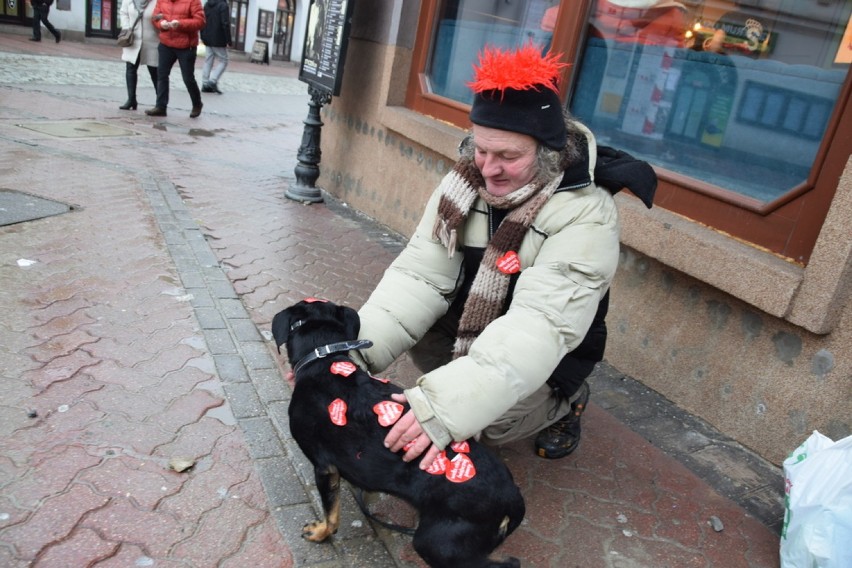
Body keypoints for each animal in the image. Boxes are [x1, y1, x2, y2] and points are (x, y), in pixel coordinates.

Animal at [272, 300, 524, 564]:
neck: (323, 359)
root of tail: (513, 499)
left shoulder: (324, 467)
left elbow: (331, 513)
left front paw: (321, 532)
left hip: (438, 543)